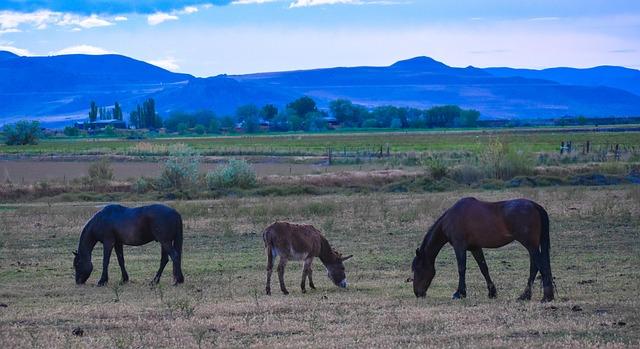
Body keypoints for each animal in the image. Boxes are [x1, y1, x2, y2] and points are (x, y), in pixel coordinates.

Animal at [412, 197, 552, 300]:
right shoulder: (475, 248)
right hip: (532, 246)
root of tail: (535, 206)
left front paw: (460, 293)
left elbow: (461, 268)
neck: (451, 218)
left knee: (539, 266)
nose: (417, 293)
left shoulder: (459, 246)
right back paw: (526, 296)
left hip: (531, 246)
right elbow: (484, 268)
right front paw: (492, 293)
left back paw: (546, 297)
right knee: (535, 267)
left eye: (417, 269)